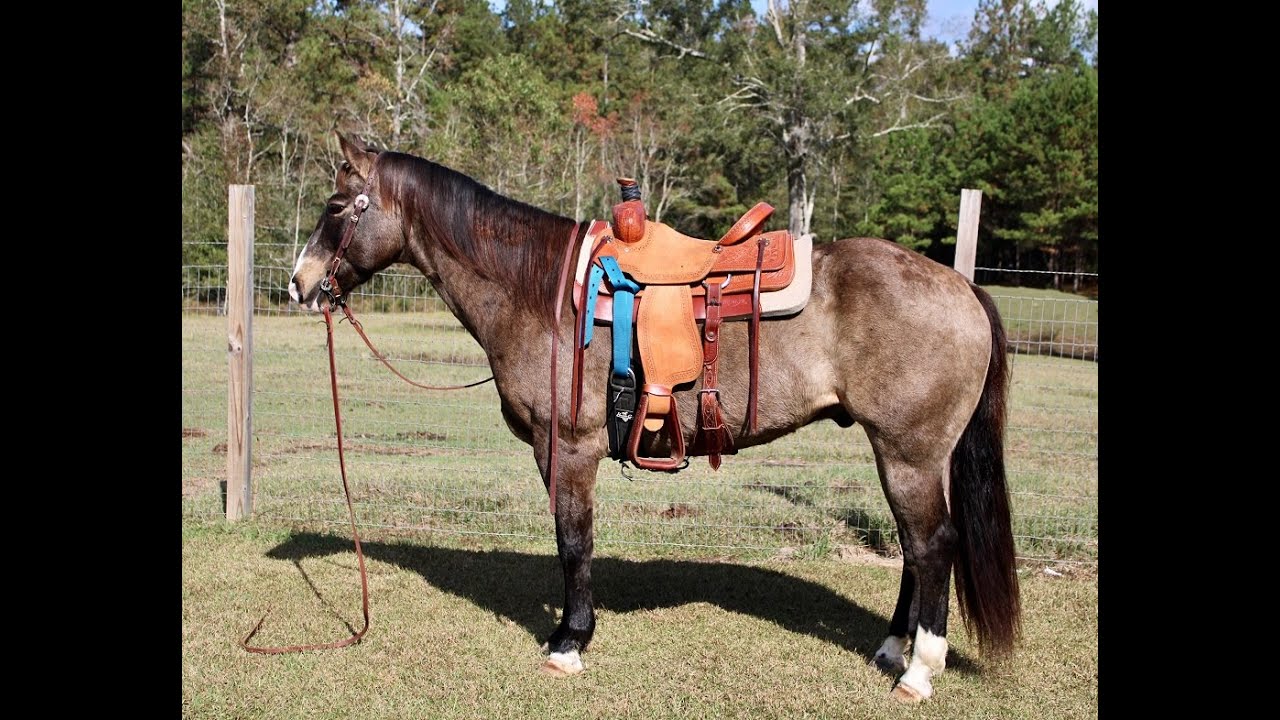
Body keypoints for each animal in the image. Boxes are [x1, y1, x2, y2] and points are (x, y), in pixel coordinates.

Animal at [287, 133, 1020, 702]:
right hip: (898, 453)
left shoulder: (568, 449)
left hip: (909, 453)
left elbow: (574, 542)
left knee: (933, 544)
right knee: (914, 547)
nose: (299, 284)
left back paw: (919, 670)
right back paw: (894, 648)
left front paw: (569, 641)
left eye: (336, 207)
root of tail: (961, 287)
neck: (538, 290)